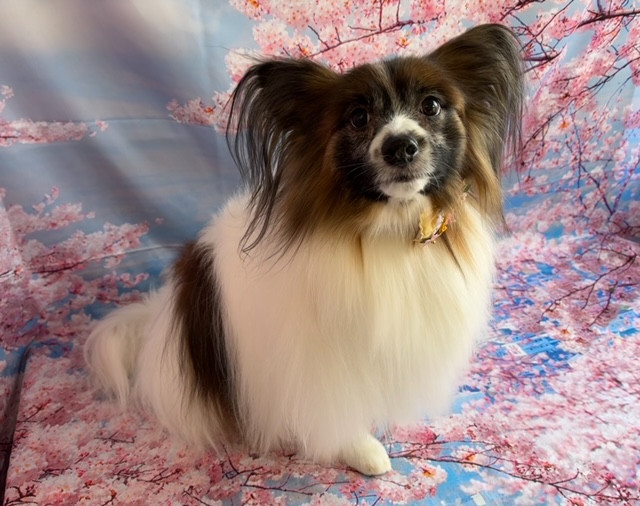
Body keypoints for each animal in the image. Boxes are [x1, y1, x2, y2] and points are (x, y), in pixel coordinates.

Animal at [85, 23, 523, 476]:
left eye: (431, 106)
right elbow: (333, 411)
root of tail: (158, 318)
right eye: (359, 117)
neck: (386, 228)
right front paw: (362, 451)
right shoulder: (319, 364)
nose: (400, 145)